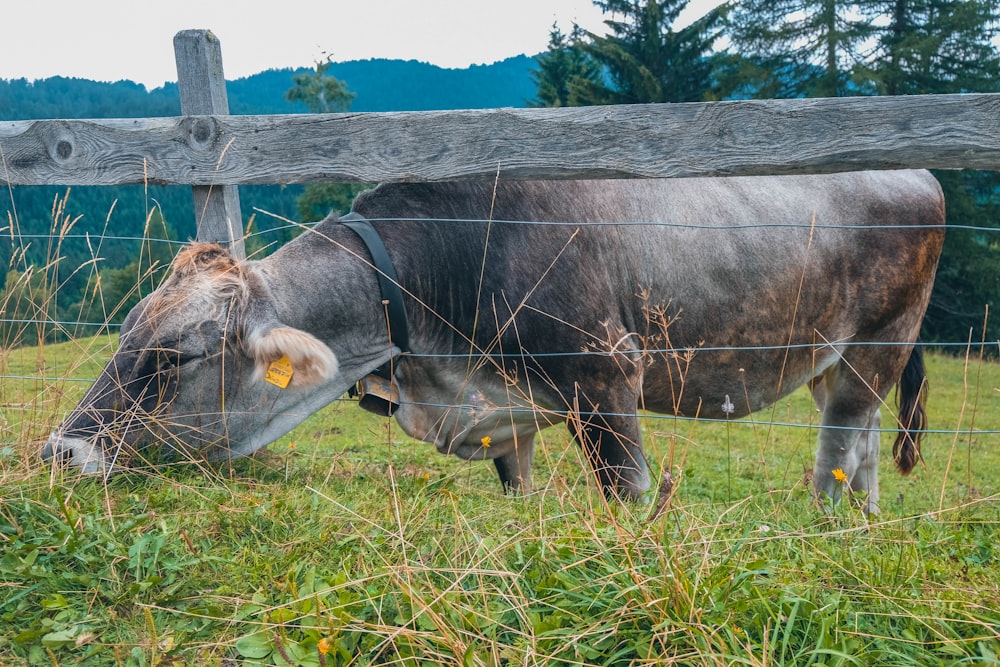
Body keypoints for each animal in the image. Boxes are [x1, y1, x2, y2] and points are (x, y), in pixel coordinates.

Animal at [41, 171, 944, 512]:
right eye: (127, 330)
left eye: (173, 356)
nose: (60, 450)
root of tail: (912, 171)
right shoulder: (504, 413)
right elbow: (519, 493)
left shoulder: (603, 377)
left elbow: (626, 494)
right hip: (841, 363)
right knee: (862, 449)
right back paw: (862, 526)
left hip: (876, 347)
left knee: (838, 450)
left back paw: (825, 525)